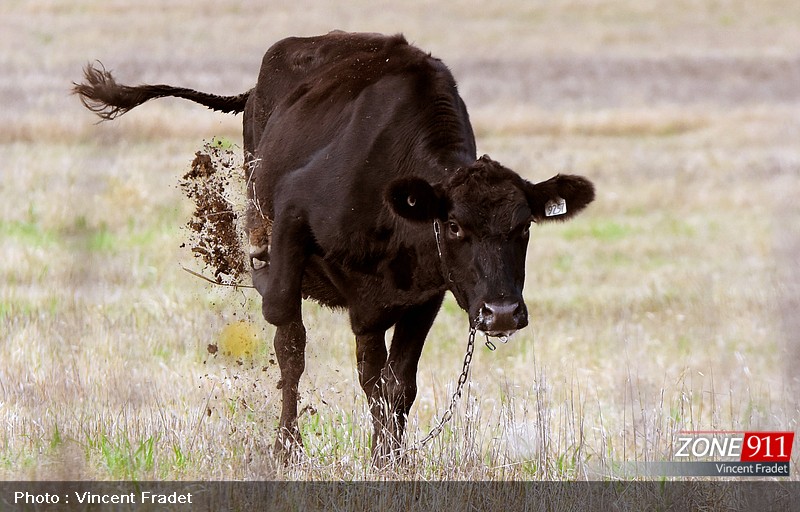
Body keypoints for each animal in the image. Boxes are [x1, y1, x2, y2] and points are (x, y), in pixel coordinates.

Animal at [74, 31, 595, 463]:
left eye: (523, 227)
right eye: (453, 226)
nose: (501, 313)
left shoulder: (424, 295)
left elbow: (396, 383)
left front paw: (389, 458)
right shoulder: (296, 223)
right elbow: (299, 348)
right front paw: (298, 449)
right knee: (290, 341)